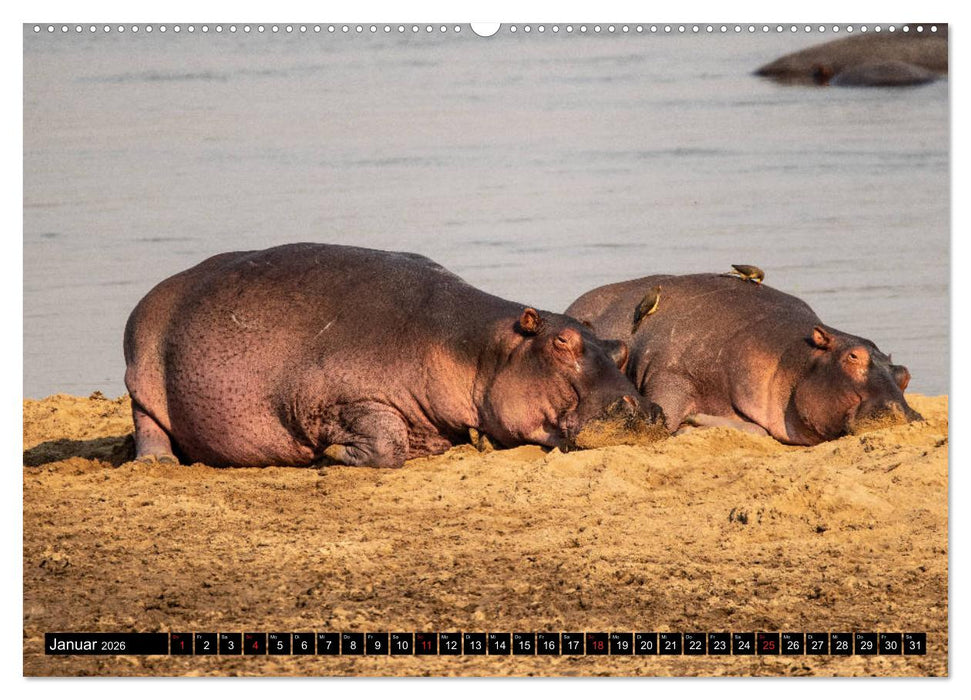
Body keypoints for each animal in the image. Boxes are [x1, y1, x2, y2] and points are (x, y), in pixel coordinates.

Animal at [124, 243, 660, 468]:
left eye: (618, 348)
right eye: (561, 343)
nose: (644, 410)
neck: (478, 347)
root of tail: (154, 292)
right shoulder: (337, 399)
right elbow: (387, 444)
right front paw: (332, 454)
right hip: (142, 376)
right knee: (147, 423)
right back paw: (158, 463)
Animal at [565, 273, 922, 445]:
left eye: (905, 374)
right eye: (853, 356)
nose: (905, 415)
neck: (792, 356)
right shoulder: (671, 376)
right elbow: (665, 419)